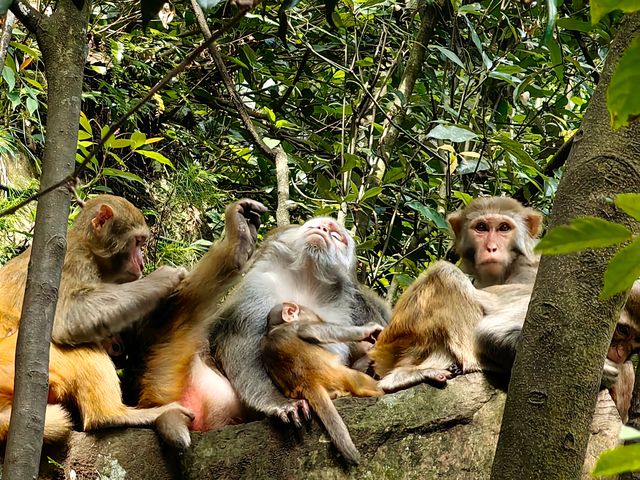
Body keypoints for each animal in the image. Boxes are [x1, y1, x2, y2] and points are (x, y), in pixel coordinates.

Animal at [0, 194, 190, 442]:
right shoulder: (68, 260)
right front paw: (164, 278)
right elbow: (65, 318)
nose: (142, 263)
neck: (90, 249)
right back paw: (112, 415)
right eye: (138, 242)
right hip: (12, 366)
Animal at [262, 302, 382, 464]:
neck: (274, 328)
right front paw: (368, 329)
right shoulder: (300, 325)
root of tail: (308, 383)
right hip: (340, 375)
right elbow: (314, 331)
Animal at [370, 197, 540, 392]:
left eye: (504, 228)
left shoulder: (531, 269)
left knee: (444, 272)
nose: (491, 248)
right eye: (481, 227)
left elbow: (493, 330)